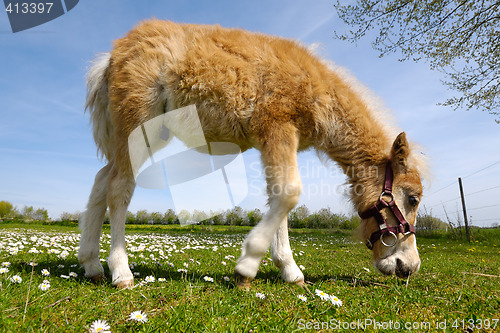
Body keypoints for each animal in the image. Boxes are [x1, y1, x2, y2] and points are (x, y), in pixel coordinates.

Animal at [78, 19, 426, 288]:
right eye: (412, 198)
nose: (409, 267)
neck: (314, 87)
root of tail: (110, 55)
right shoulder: (276, 127)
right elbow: (288, 193)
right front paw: (247, 268)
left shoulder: (280, 139)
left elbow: (278, 198)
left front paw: (290, 272)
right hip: (136, 124)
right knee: (119, 186)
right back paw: (120, 272)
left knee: (101, 180)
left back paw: (91, 264)